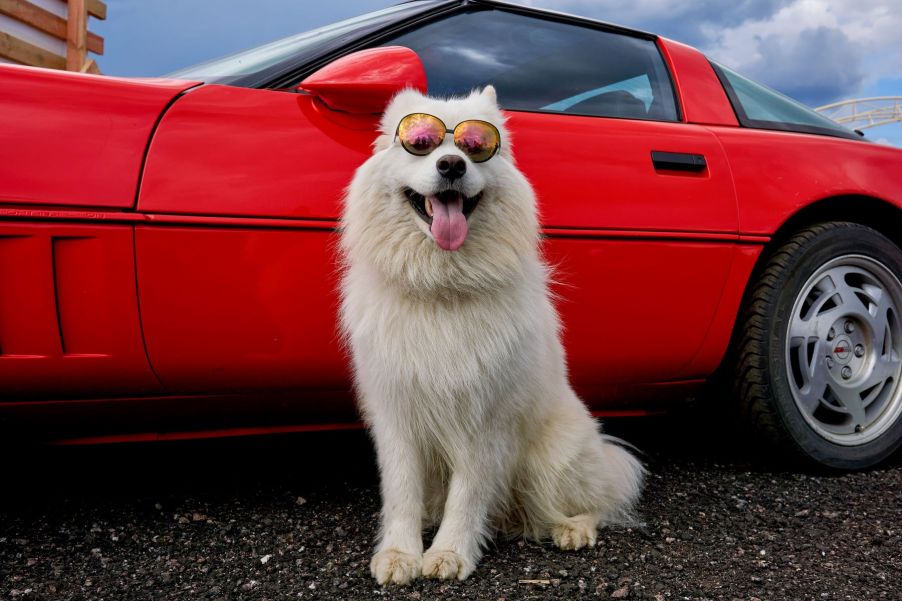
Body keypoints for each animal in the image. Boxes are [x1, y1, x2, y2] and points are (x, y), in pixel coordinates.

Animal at [342, 86, 648, 584]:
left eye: (476, 146)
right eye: (419, 142)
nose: (452, 165)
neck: (442, 289)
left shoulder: (485, 418)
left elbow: (467, 495)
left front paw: (449, 553)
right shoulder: (397, 414)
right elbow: (403, 491)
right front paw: (400, 554)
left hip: (552, 460)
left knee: (599, 503)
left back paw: (573, 529)